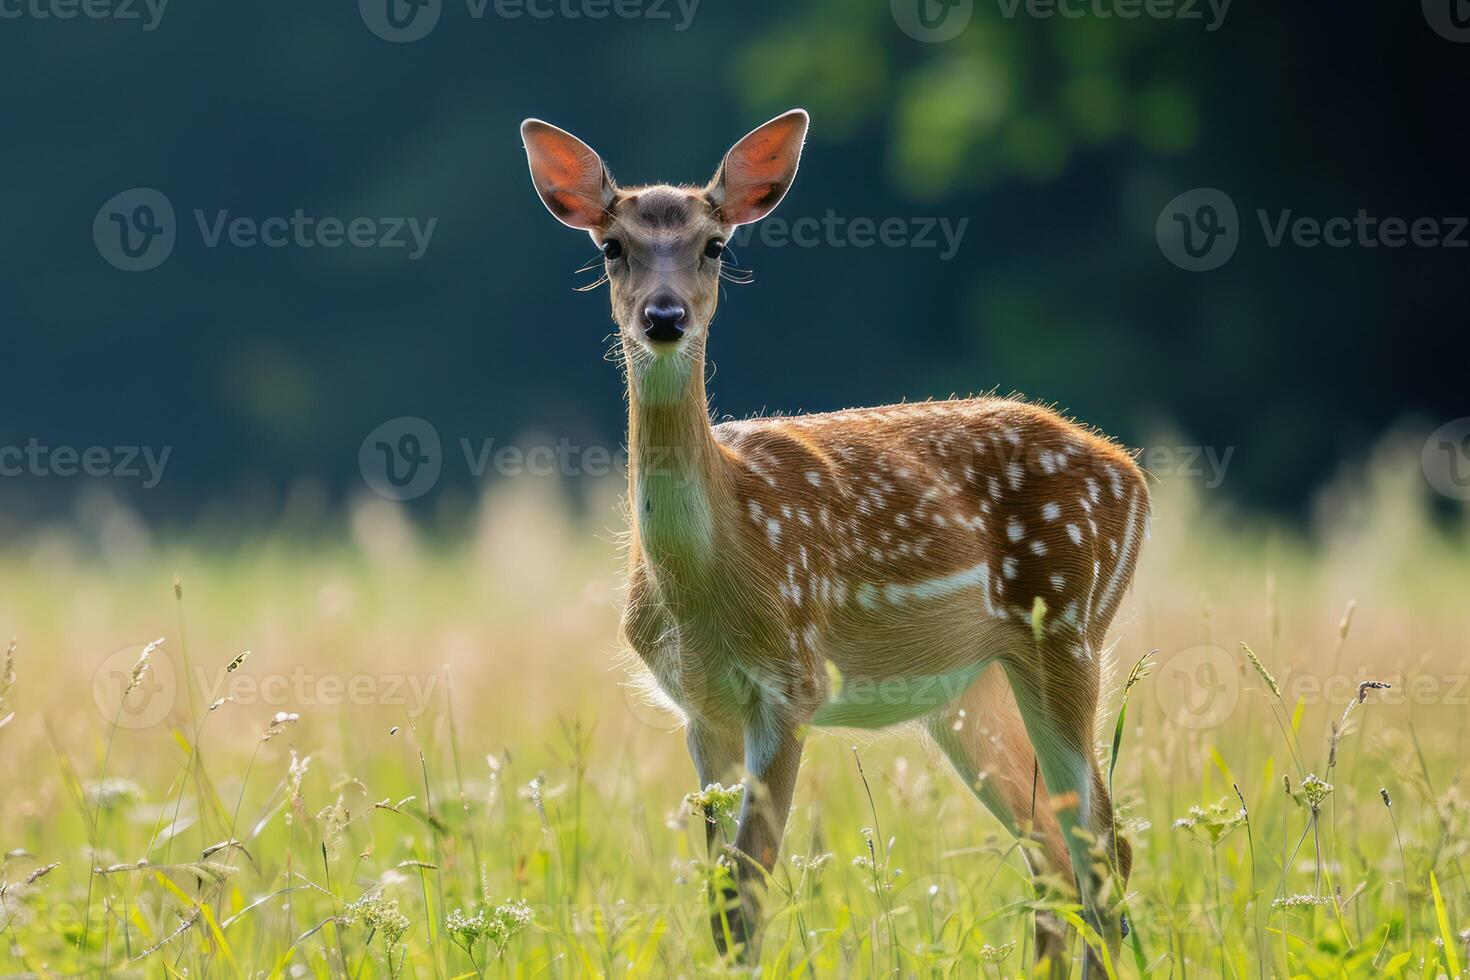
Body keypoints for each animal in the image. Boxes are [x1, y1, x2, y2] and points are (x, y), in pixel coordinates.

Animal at [523, 107, 1152, 975]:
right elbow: (718, 903)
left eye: (715, 245)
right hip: (974, 689)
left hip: (1068, 625)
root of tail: (1132, 473)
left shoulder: (790, 684)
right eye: (611, 245)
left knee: (1103, 850)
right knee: (1055, 858)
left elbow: (747, 901)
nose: (664, 318)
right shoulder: (699, 708)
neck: (712, 575)